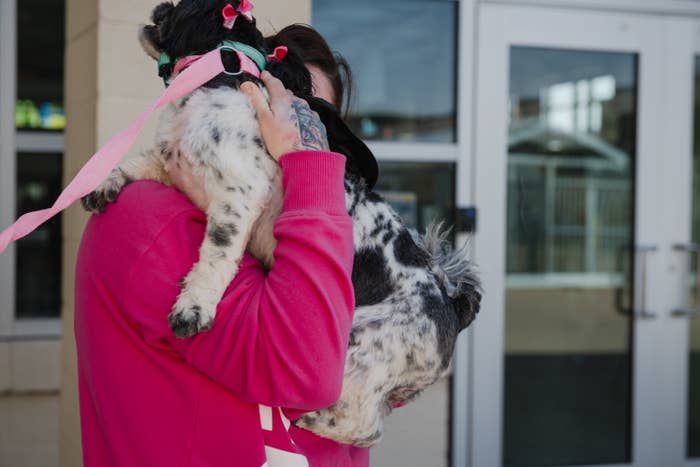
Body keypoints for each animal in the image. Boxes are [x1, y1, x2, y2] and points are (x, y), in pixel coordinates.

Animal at [83, 0, 482, 446]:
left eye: (182, 7)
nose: (160, 6)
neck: (219, 77)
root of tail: (453, 304)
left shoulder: (238, 193)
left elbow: (215, 256)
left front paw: (193, 307)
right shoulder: (172, 166)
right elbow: (135, 163)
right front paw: (103, 182)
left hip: (361, 344)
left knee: (367, 425)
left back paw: (311, 420)